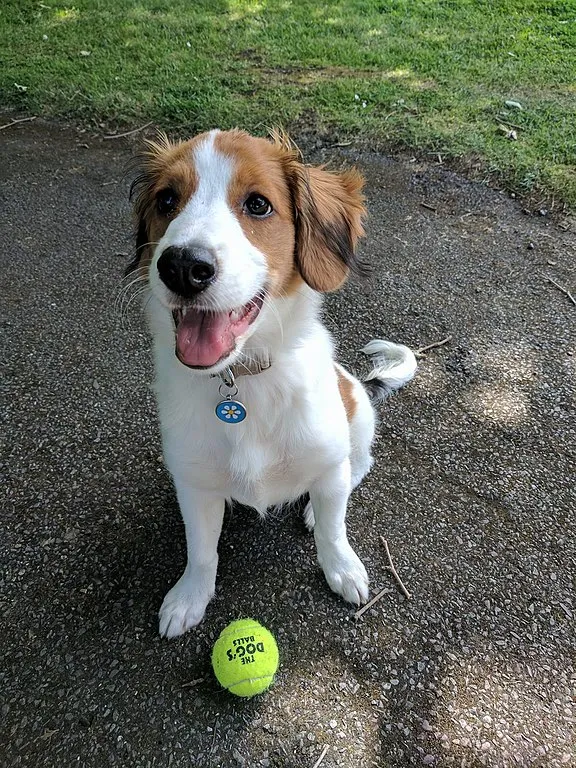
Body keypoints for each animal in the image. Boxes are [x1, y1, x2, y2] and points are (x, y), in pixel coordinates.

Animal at [127, 129, 414, 640]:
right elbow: (201, 550)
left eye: (258, 204)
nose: (181, 266)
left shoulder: (328, 458)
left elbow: (334, 530)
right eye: (166, 200)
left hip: (357, 417)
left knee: (358, 467)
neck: (241, 382)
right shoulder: (193, 483)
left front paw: (341, 568)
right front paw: (190, 597)